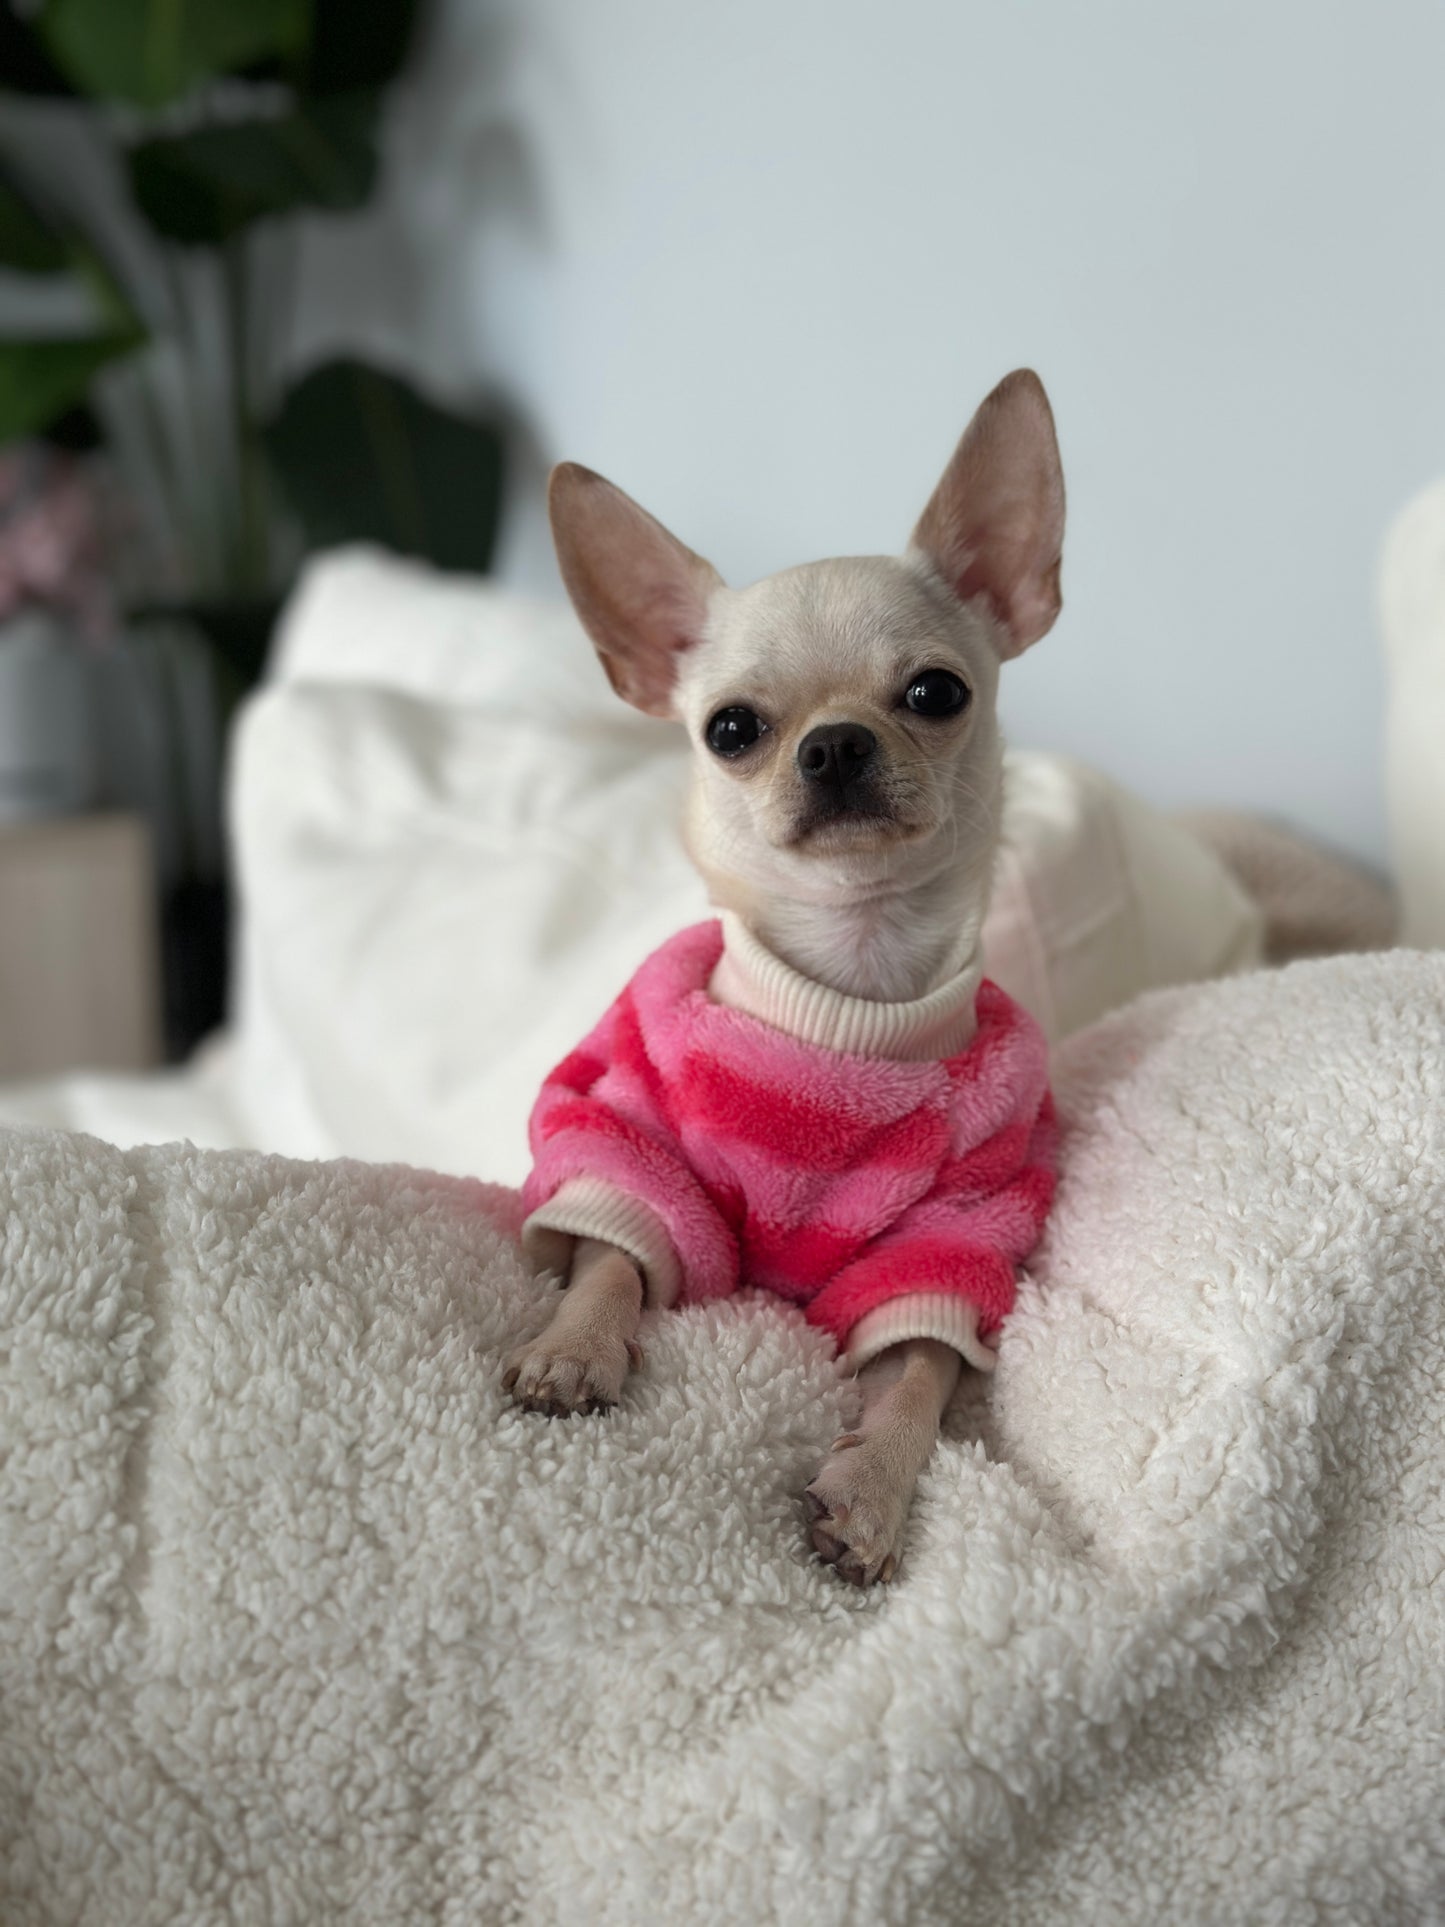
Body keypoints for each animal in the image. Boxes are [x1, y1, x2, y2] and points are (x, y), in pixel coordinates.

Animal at [504, 368, 1063, 1587]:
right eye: (730, 730)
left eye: (935, 693)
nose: (835, 743)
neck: (844, 992)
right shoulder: (637, 1147)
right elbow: (615, 1260)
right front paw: (573, 1349)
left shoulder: (949, 1233)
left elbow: (915, 1375)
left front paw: (868, 1493)